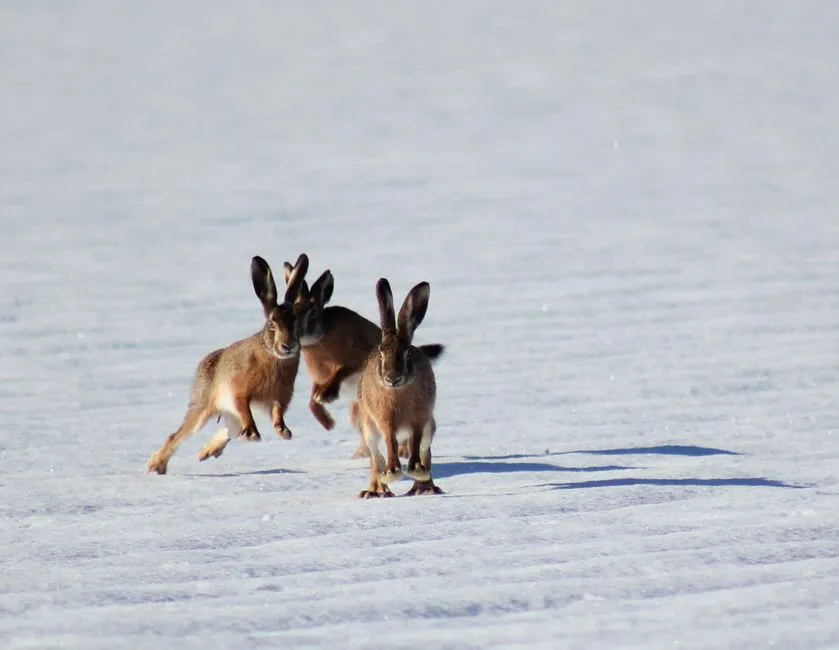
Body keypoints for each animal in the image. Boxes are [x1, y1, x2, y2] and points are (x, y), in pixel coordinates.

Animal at [146, 253, 309, 475]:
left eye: (296, 322)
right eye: (272, 323)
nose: (288, 346)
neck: (271, 355)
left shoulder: (279, 397)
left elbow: (277, 412)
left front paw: (283, 431)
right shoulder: (237, 391)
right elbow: (245, 409)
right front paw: (254, 434)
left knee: (228, 429)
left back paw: (206, 452)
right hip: (203, 406)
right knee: (179, 434)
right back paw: (156, 466)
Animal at [282, 261, 445, 460]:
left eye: (312, 312)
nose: (290, 339)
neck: (321, 336)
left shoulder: (354, 360)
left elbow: (340, 372)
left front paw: (326, 396)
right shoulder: (319, 378)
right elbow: (312, 401)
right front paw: (328, 421)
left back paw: (401, 452)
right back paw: (361, 454)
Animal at [355, 277, 444, 498]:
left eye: (407, 353)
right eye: (381, 352)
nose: (392, 379)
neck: (399, 392)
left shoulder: (420, 419)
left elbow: (415, 442)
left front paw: (415, 470)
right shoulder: (385, 419)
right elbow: (390, 442)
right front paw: (393, 473)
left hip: (429, 428)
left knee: (425, 452)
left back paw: (425, 487)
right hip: (368, 429)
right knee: (376, 460)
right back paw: (375, 490)